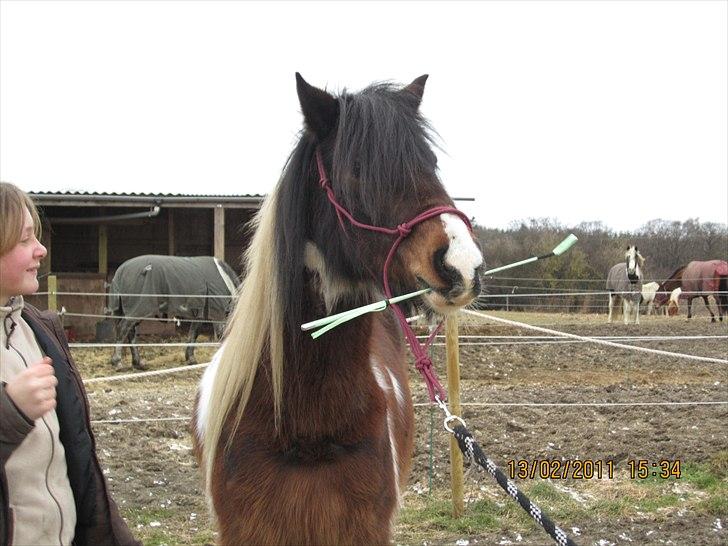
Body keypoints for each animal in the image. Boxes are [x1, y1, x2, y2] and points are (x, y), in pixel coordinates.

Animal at [106, 255, 237, 370]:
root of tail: (121, 271)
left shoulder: (199, 316)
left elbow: (193, 334)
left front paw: (190, 358)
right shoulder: (218, 314)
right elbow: (220, 335)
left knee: (130, 333)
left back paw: (137, 363)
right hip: (137, 310)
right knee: (123, 329)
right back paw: (118, 362)